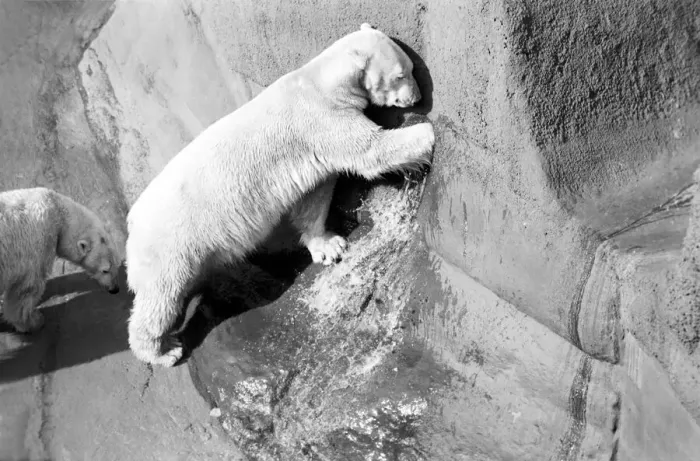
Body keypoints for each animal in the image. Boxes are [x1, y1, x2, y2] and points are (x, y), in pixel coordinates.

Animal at [0, 187, 122, 333]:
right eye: (105, 270)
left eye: (117, 265)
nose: (115, 289)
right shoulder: (36, 245)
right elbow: (27, 287)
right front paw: (34, 321)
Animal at [125, 23, 435, 367]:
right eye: (401, 74)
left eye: (411, 69)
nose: (418, 97)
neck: (320, 80)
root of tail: (133, 219)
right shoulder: (322, 119)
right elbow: (370, 151)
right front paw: (427, 132)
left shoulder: (314, 147)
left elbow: (314, 197)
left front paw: (328, 246)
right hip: (172, 241)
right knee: (161, 297)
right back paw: (164, 350)